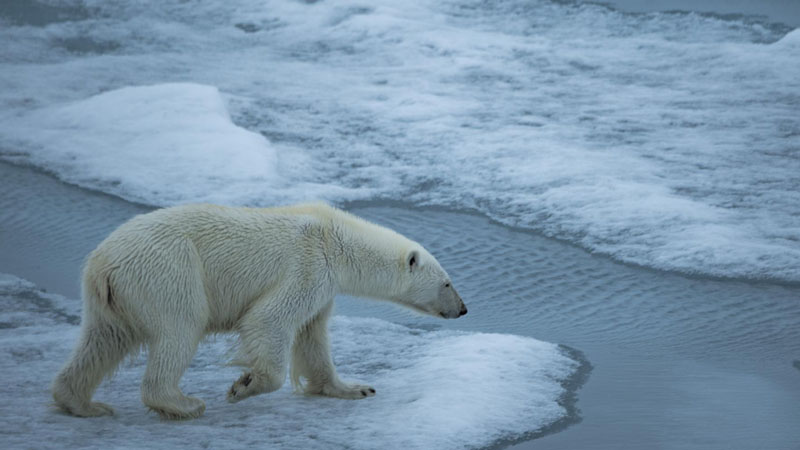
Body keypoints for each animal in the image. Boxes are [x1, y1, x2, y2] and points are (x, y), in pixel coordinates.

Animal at [53, 202, 466, 420]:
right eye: (447, 283)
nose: (463, 309)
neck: (334, 239)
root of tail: (103, 263)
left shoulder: (322, 288)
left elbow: (313, 337)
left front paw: (354, 388)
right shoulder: (307, 266)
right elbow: (270, 320)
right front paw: (244, 385)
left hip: (112, 297)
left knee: (102, 340)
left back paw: (84, 404)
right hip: (169, 271)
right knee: (180, 328)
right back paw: (183, 403)